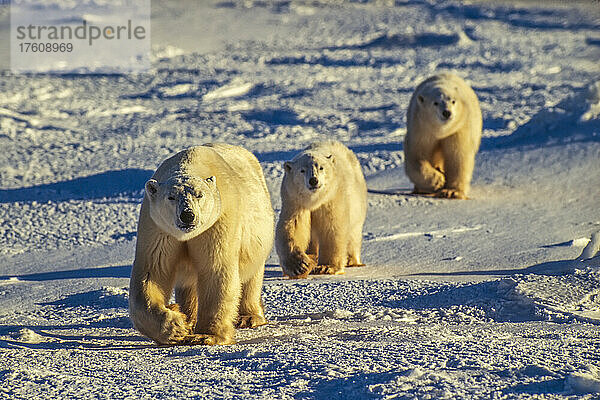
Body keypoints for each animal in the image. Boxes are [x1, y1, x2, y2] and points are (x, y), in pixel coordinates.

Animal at [130, 143, 276, 344]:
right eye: (171, 197)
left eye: (199, 195)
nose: (187, 215)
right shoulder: (157, 227)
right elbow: (152, 272)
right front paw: (175, 326)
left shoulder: (219, 220)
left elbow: (216, 268)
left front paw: (206, 335)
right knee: (188, 284)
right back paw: (187, 316)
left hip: (257, 235)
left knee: (251, 276)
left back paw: (248, 317)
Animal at [276, 141, 366, 278]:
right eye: (302, 170)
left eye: (321, 167)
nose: (313, 180)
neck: (315, 201)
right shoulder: (294, 201)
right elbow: (292, 227)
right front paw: (299, 266)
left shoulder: (332, 198)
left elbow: (332, 227)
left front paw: (326, 267)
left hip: (357, 203)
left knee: (354, 233)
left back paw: (353, 261)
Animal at [404, 72, 482, 200]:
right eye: (435, 103)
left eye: (453, 101)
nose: (447, 112)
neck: (442, 131)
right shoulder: (421, 129)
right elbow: (416, 156)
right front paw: (438, 181)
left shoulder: (459, 129)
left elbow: (458, 157)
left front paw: (451, 192)